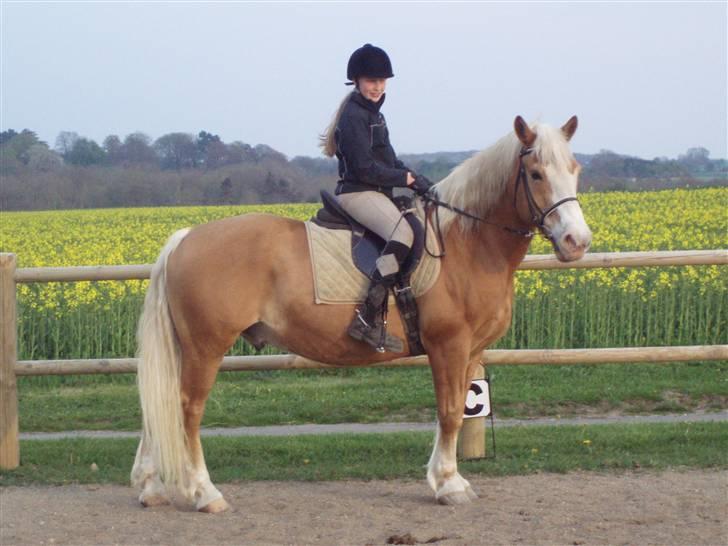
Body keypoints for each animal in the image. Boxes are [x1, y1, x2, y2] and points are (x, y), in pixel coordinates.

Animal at [132, 115, 592, 510]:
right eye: (536, 174)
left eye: (575, 169)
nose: (577, 242)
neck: (466, 243)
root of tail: (187, 237)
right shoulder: (450, 345)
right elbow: (449, 414)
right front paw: (449, 485)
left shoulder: (471, 351)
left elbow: (453, 411)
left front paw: (446, 479)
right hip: (206, 347)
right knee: (187, 409)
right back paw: (204, 493)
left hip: (186, 348)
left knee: (161, 405)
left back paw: (151, 488)